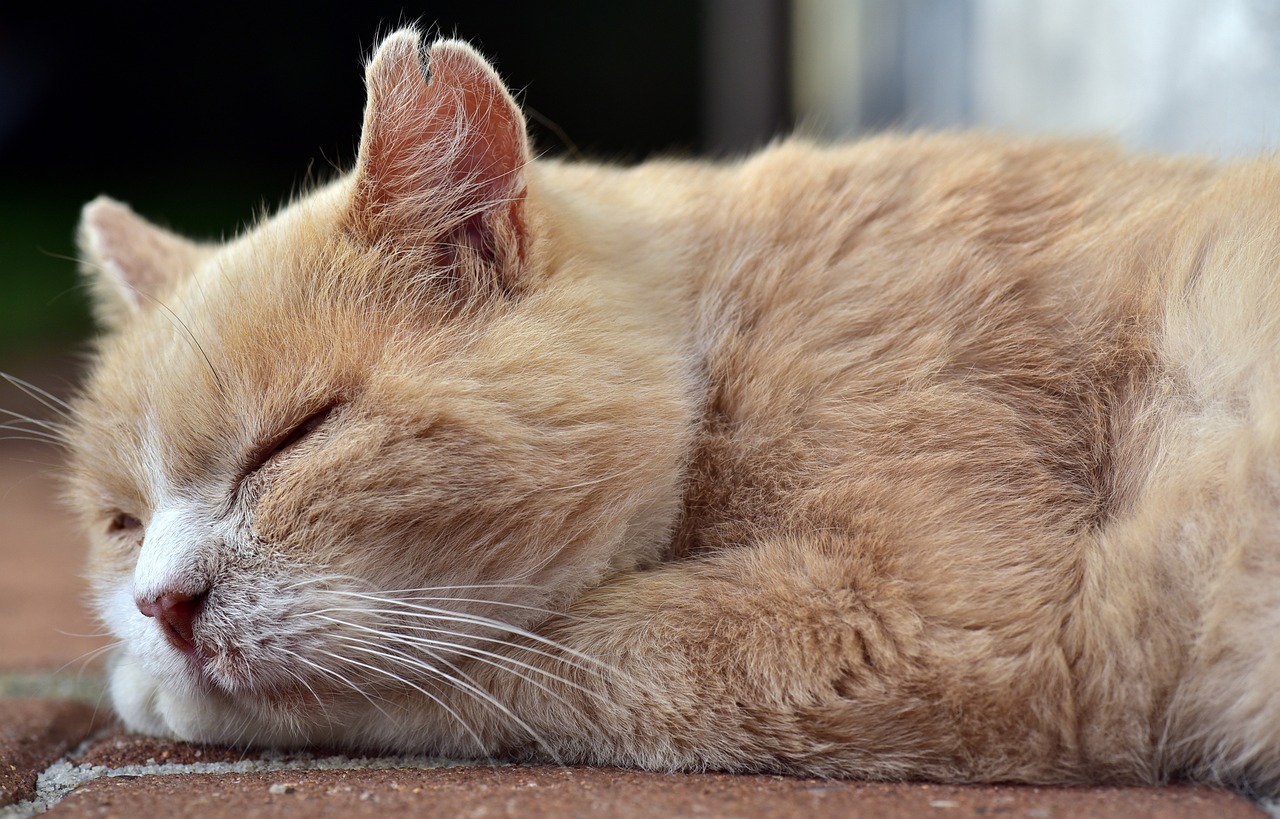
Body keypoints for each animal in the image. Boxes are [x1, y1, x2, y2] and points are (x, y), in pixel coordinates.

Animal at [62, 28, 1280, 798]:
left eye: (295, 436)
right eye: (121, 522)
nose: (160, 605)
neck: (728, 319)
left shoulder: (941, 619)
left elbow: (529, 661)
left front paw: (161, 693)